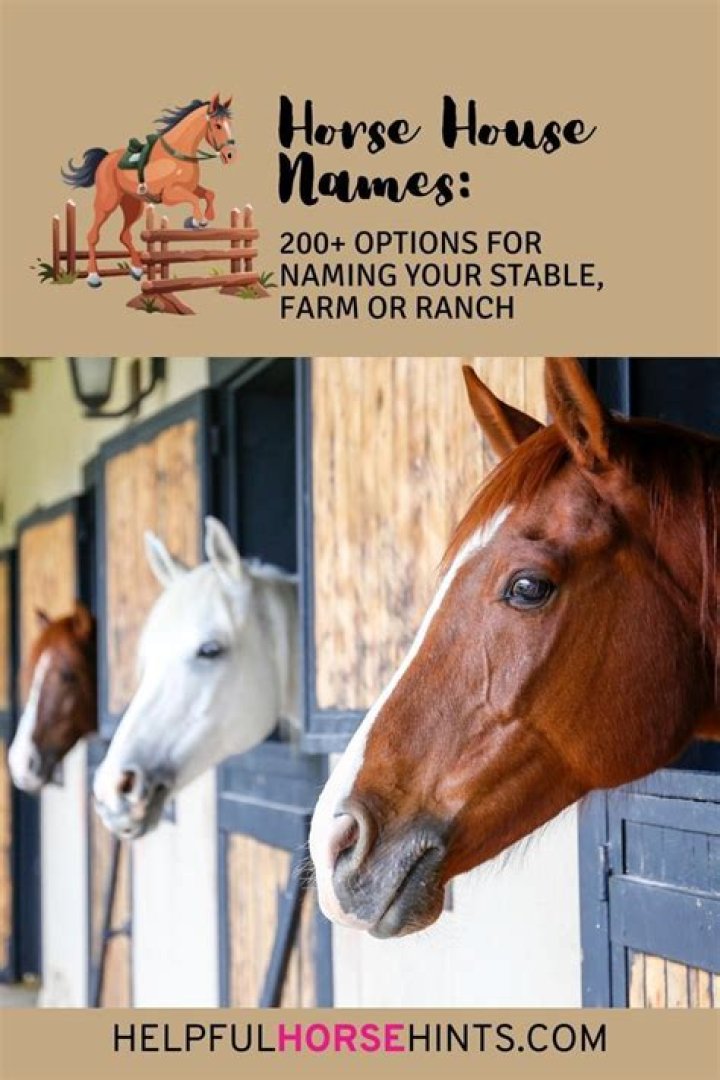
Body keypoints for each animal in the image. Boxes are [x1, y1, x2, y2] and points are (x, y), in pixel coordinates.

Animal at [61, 94, 235, 287]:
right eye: (217, 125)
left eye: (229, 123)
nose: (230, 155)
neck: (176, 154)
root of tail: (106, 158)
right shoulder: (169, 194)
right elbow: (194, 199)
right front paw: (197, 221)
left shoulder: (190, 187)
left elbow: (209, 194)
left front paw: (206, 217)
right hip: (107, 202)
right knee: (93, 235)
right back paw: (93, 276)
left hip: (132, 204)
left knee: (124, 235)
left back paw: (137, 269)